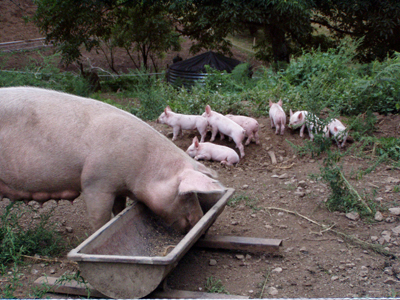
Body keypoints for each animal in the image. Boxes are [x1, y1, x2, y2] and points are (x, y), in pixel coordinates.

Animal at [0, 85, 225, 233]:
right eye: (186, 195)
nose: (198, 219)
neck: (144, 167)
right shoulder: (96, 183)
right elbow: (99, 219)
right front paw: (99, 231)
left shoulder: (118, 188)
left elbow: (119, 209)